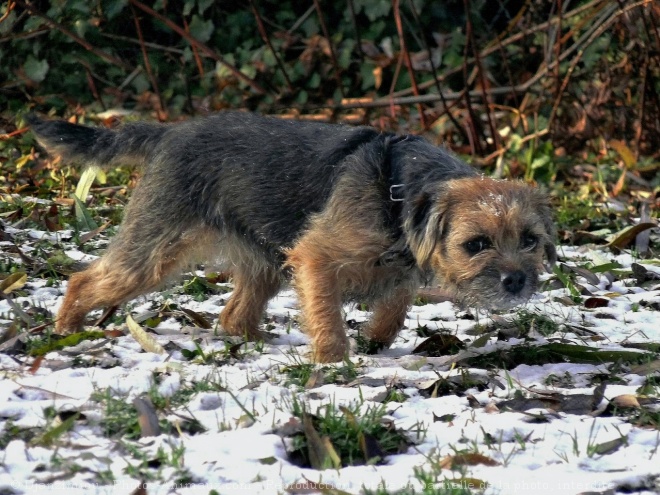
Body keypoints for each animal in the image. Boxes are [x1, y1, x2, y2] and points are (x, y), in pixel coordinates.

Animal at [28, 112, 556, 364]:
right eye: (476, 244)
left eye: (530, 240)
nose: (515, 282)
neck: (397, 186)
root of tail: (169, 132)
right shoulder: (315, 259)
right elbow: (327, 316)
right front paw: (333, 363)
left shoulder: (398, 262)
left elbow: (397, 301)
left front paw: (377, 337)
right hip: (155, 249)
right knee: (86, 280)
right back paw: (66, 330)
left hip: (264, 263)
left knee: (234, 316)